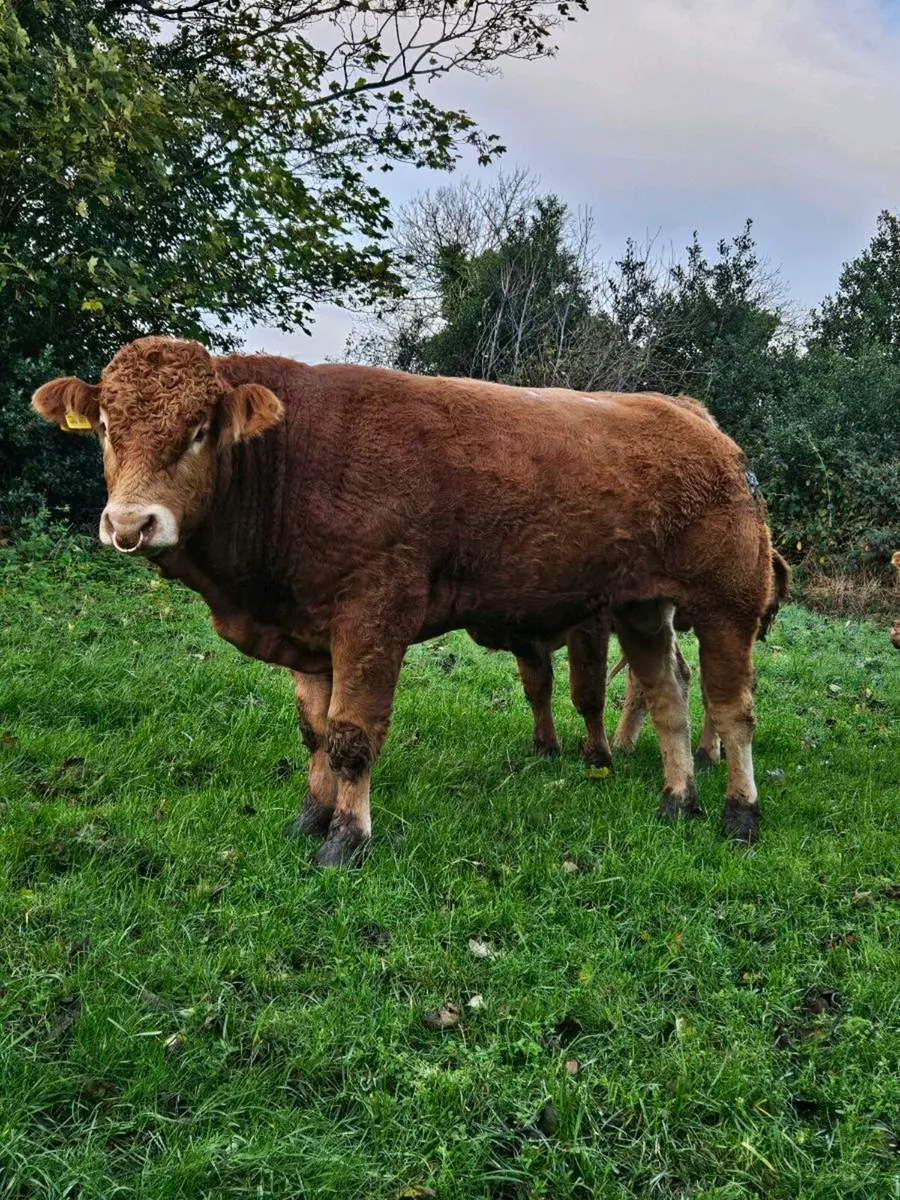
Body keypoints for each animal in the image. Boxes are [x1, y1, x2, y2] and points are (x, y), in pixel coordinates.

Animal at [33, 336, 778, 866]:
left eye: (198, 430)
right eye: (105, 426)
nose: (130, 523)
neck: (288, 460)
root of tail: (687, 416)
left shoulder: (373, 617)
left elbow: (353, 736)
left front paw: (346, 838)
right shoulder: (309, 632)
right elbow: (316, 731)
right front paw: (310, 816)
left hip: (728, 605)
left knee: (731, 710)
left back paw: (739, 813)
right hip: (642, 608)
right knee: (667, 697)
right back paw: (676, 799)